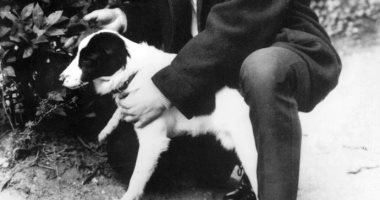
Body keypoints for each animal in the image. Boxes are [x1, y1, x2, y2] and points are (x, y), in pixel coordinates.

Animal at [59, 30, 256, 200]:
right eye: (76, 55)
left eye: (88, 60)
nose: (60, 78)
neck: (135, 71)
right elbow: (120, 109)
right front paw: (107, 129)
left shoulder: (153, 141)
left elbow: (137, 177)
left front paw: (130, 196)